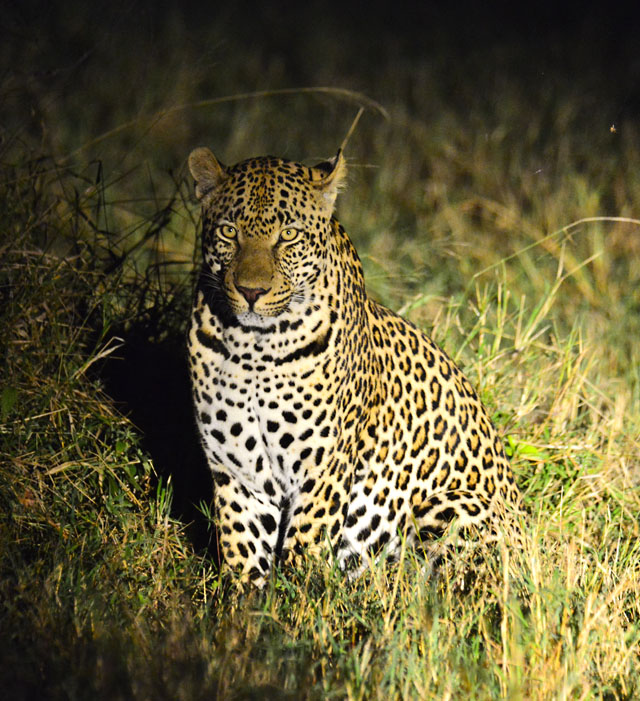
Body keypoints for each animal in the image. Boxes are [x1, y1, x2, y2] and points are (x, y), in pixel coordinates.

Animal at [186, 146, 521, 586]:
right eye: (229, 232)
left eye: (288, 235)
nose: (251, 291)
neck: (254, 349)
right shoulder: (237, 473)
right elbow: (243, 553)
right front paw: (242, 602)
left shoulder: (322, 472)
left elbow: (303, 551)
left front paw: (296, 601)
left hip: (457, 504)